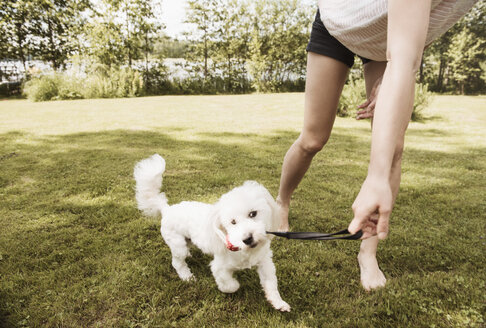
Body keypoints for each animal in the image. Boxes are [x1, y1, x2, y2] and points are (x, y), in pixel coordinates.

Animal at [134, 155, 288, 312]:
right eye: (232, 222)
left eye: (253, 214)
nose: (247, 239)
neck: (246, 252)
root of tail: (167, 209)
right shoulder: (219, 267)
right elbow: (230, 285)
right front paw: (235, 285)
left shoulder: (265, 262)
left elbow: (271, 284)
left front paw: (278, 302)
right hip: (177, 244)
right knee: (177, 263)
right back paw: (187, 276)